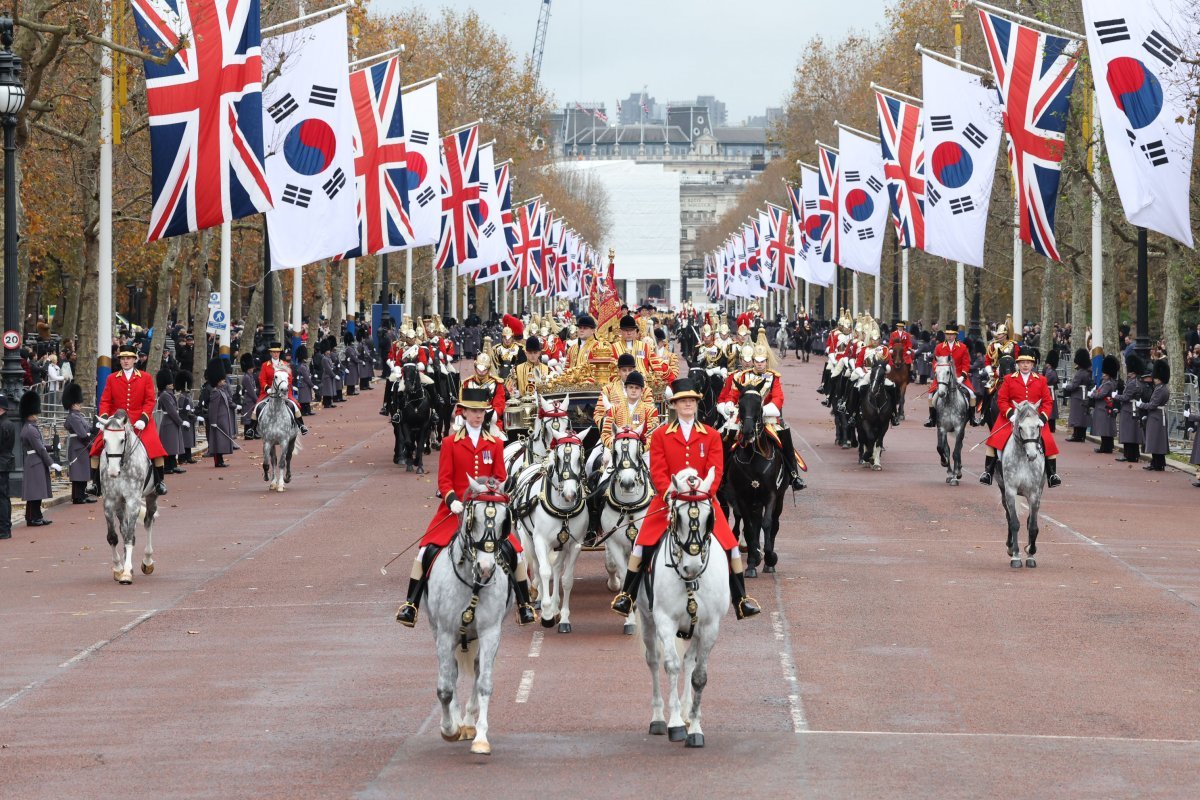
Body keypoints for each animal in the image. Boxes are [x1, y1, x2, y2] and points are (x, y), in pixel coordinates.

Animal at [97, 410, 159, 585]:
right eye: (104, 440)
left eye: (122, 440)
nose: (112, 472)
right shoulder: (110, 502)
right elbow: (113, 536)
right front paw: (119, 568)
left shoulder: (133, 502)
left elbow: (130, 535)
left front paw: (126, 573)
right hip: (121, 505)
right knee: (123, 530)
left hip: (151, 496)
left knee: (148, 522)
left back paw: (147, 561)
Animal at [511, 434, 585, 633]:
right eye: (558, 458)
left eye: (580, 458)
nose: (569, 494)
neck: (563, 510)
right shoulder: (540, 541)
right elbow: (544, 572)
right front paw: (546, 614)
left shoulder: (574, 545)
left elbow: (566, 579)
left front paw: (563, 618)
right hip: (527, 539)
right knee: (535, 566)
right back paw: (536, 598)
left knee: (557, 568)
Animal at [597, 429, 652, 633]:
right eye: (615, 451)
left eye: (639, 451)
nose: (628, 484)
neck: (629, 507)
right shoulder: (613, 541)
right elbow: (622, 571)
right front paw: (629, 616)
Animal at [638, 465, 729, 748]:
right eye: (677, 516)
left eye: (709, 516)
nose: (691, 566)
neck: (692, 580)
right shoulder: (665, 621)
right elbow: (671, 665)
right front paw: (675, 723)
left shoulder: (710, 626)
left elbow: (699, 675)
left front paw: (695, 728)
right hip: (646, 619)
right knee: (653, 660)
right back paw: (658, 718)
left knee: (690, 660)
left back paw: (688, 711)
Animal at [998, 400, 1046, 568]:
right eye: (1020, 427)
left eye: (1038, 426)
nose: (1032, 455)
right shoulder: (1010, 491)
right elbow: (1014, 523)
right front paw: (1016, 556)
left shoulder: (1034, 494)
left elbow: (1032, 526)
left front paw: (1031, 553)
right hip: (1003, 490)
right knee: (1008, 516)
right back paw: (1010, 546)